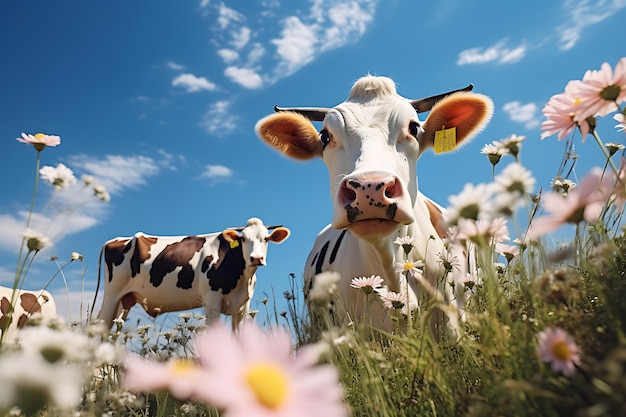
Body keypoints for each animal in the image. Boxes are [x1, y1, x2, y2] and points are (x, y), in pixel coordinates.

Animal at [94, 218, 290, 332]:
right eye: (243, 238)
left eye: (266, 238)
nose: (256, 258)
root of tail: (115, 240)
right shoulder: (212, 301)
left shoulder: (243, 306)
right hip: (112, 296)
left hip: (124, 301)